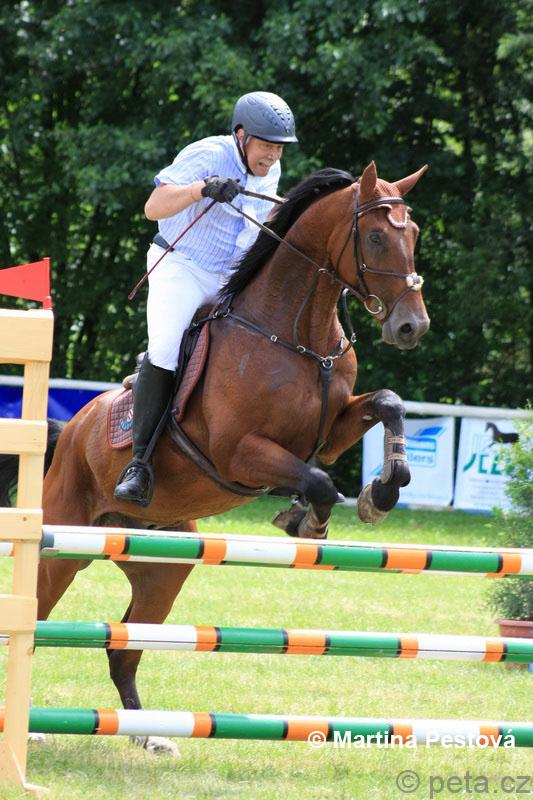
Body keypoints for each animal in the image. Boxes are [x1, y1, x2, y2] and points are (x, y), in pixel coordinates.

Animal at [0, 161, 430, 753]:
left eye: (414, 235)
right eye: (375, 237)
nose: (412, 326)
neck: (296, 334)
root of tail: (72, 431)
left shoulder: (330, 433)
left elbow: (387, 404)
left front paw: (381, 492)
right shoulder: (239, 454)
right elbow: (319, 482)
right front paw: (308, 522)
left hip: (164, 565)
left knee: (123, 649)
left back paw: (150, 736)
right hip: (61, 546)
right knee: (34, 624)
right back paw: (33, 731)